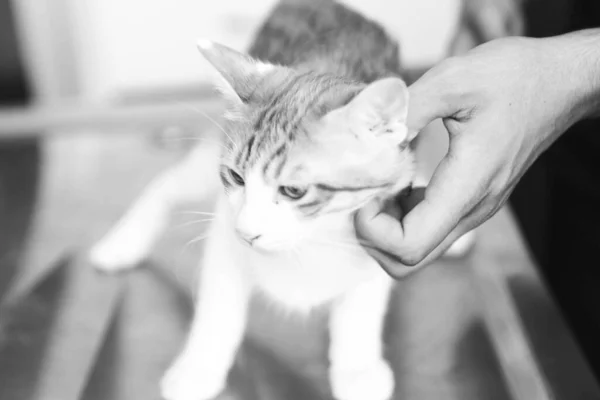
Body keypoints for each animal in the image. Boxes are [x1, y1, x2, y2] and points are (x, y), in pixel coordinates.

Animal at [89, 1, 474, 398]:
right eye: (237, 178)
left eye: (293, 191)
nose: (247, 234)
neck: (311, 241)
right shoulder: (224, 229)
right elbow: (218, 304)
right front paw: (200, 365)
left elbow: (362, 305)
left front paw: (356, 367)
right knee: (169, 183)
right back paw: (124, 241)